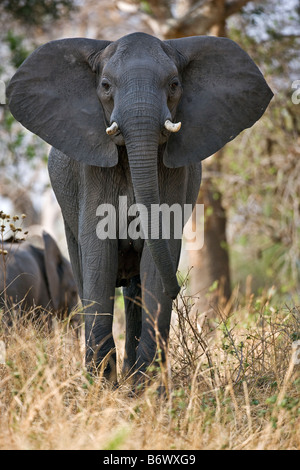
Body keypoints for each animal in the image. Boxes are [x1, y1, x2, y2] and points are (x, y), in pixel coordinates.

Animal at [7, 31, 274, 384]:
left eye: (174, 84)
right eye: (105, 85)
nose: (179, 288)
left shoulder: (174, 173)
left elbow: (156, 261)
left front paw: (148, 389)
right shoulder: (91, 172)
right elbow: (98, 255)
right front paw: (101, 387)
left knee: (135, 289)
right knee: (84, 272)